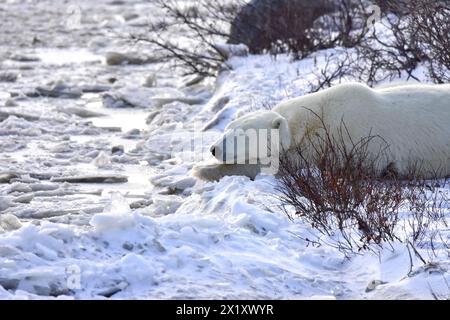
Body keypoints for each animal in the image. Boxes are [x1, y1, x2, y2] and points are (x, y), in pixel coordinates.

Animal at [193, 82, 450, 181]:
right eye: (227, 129)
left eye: (241, 135)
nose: (213, 149)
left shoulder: (334, 142)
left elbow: (273, 166)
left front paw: (199, 170)